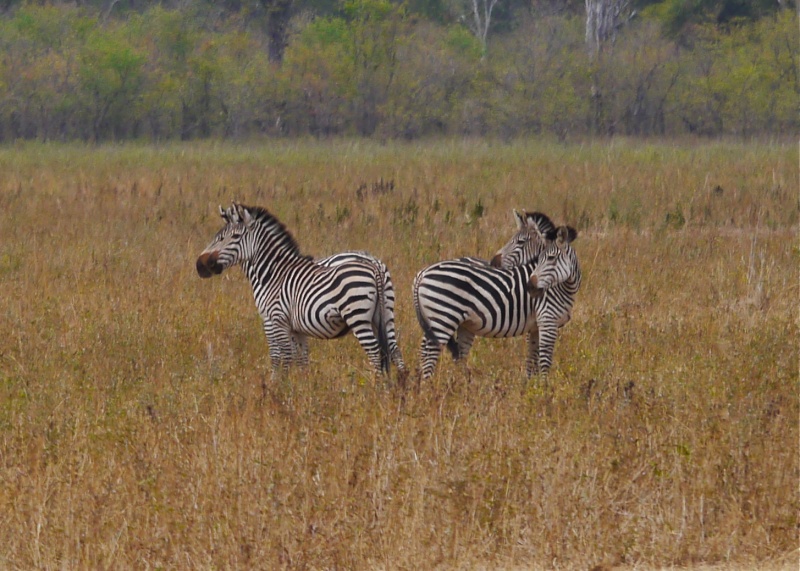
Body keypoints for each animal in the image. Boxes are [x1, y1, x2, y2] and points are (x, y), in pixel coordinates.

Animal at [195, 203, 394, 378]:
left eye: (234, 237)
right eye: (217, 236)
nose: (200, 265)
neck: (273, 273)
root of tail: (374, 265)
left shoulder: (273, 320)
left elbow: (280, 356)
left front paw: (279, 386)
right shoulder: (296, 327)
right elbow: (301, 358)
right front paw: (303, 386)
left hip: (357, 316)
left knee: (375, 352)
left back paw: (376, 386)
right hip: (383, 315)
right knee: (391, 350)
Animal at [412, 214, 580, 380]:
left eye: (551, 259)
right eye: (540, 259)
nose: (531, 288)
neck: (563, 286)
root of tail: (423, 273)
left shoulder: (535, 327)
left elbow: (532, 359)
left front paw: (531, 385)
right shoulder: (547, 320)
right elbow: (545, 361)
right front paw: (543, 387)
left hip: (444, 321)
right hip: (443, 317)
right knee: (429, 354)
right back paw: (429, 384)